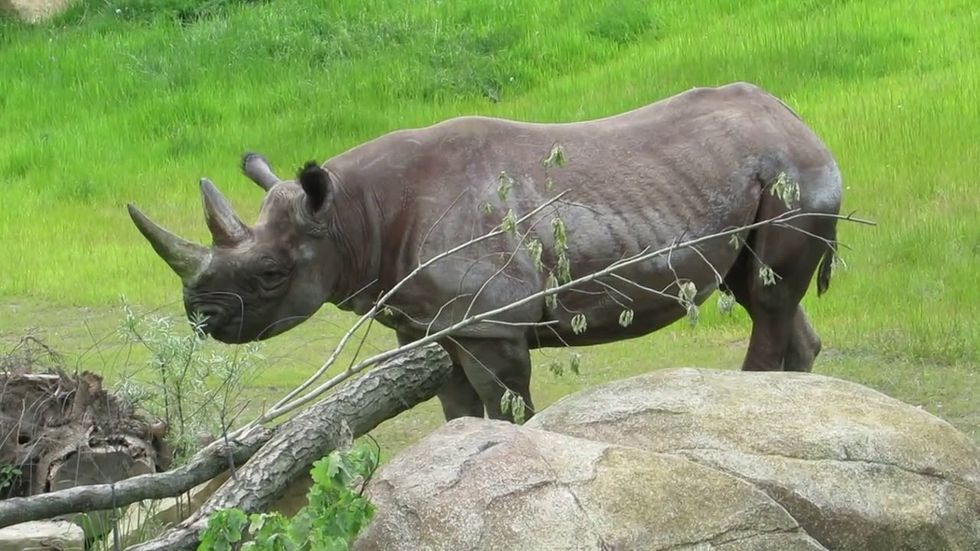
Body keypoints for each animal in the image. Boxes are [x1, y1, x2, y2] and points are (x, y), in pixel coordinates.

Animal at [128, 82, 843, 422]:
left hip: (794, 177)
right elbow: (456, 409)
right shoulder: (428, 323)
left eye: (271, 273)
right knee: (762, 290)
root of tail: (799, 121)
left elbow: (505, 407)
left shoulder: (491, 322)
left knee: (769, 295)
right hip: (765, 171)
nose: (201, 318)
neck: (350, 217)